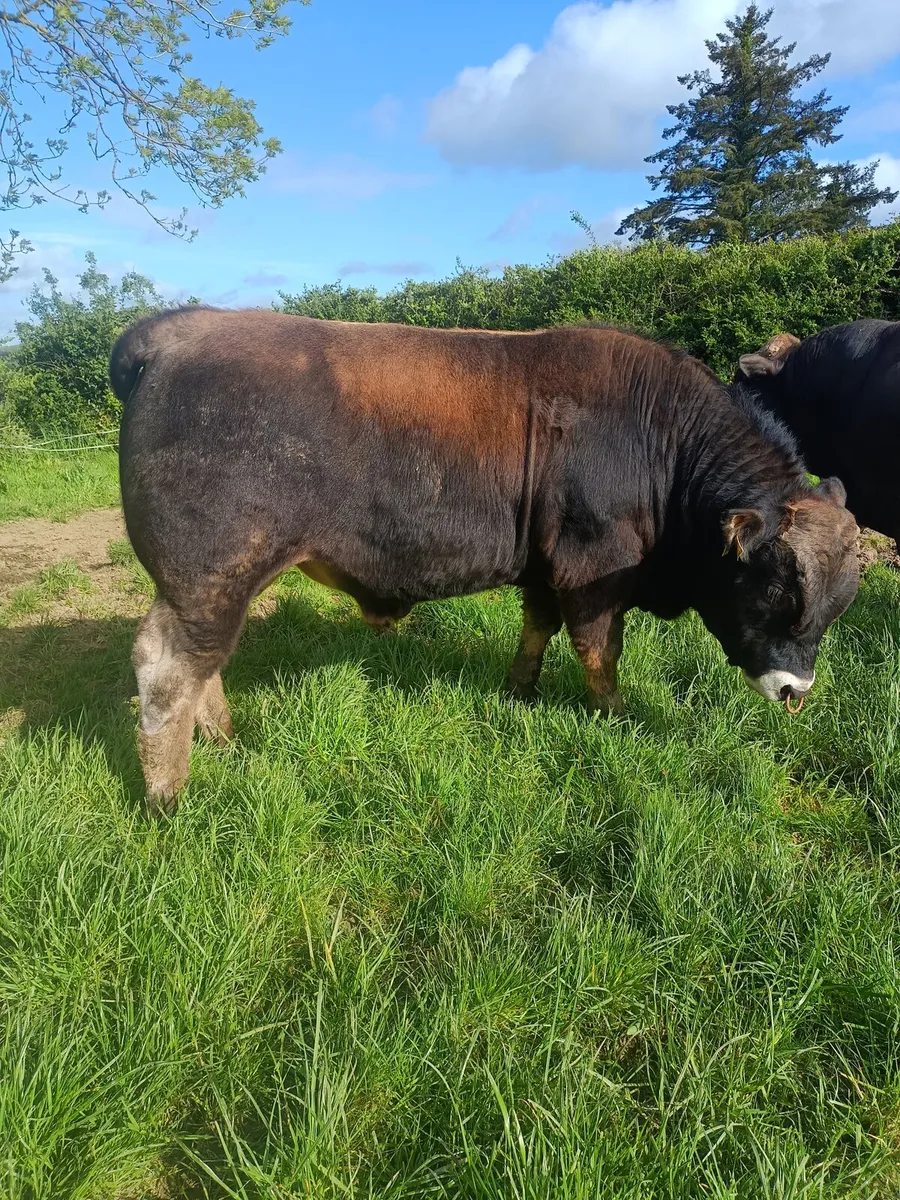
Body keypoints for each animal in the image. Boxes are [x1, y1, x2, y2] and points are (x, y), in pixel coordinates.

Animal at [112, 309, 860, 815]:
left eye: (840, 601)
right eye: (778, 592)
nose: (796, 692)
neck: (661, 440)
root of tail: (184, 326)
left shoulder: (546, 568)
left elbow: (538, 628)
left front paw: (521, 689)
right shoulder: (592, 569)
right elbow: (599, 648)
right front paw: (614, 715)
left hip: (211, 586)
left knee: (204, 663)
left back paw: (223, 740)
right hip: (210, 576)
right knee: (169, 668)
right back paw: (168, 793)